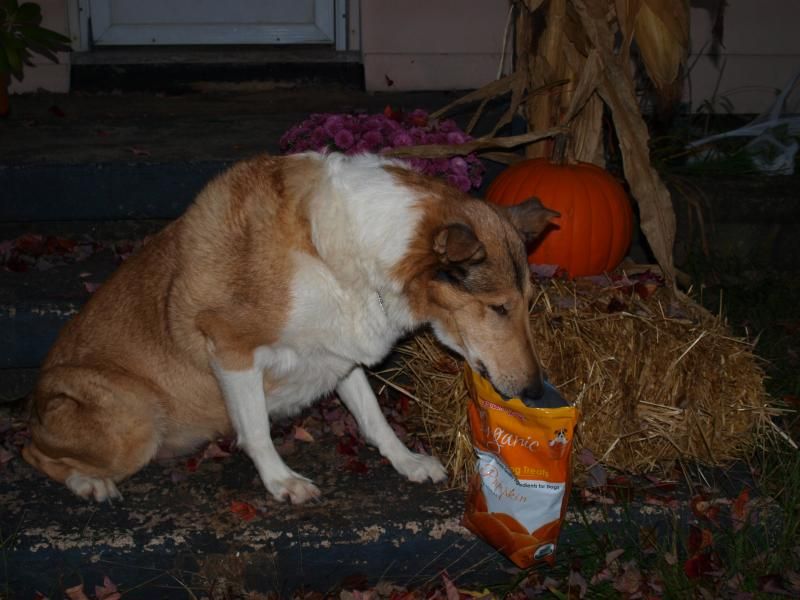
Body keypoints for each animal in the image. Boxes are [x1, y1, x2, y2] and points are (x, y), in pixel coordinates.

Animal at [23, 152, 558, 504]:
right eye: (498, 308)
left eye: (527, 302)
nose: (536, 391)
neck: (352, 249)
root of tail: (35, 403)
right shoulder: (231, 347)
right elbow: (257, 429)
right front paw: (283, 483)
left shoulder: (341, 350)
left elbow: (373, 418)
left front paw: (407, 461)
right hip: (135, 424)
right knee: (34, 453)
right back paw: (90, 483)